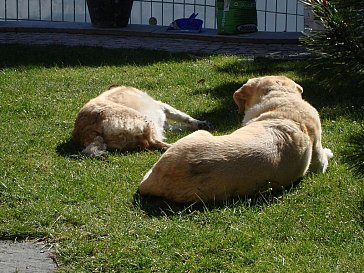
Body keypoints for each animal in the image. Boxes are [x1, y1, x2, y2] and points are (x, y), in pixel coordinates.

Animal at [72, 85, 209, 155]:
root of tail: (85, 131)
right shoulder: (161, 106)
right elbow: (183, 116)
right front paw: (199, 123)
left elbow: (178, 125)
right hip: (144, 120)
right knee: (154, 142)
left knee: (149, 143)